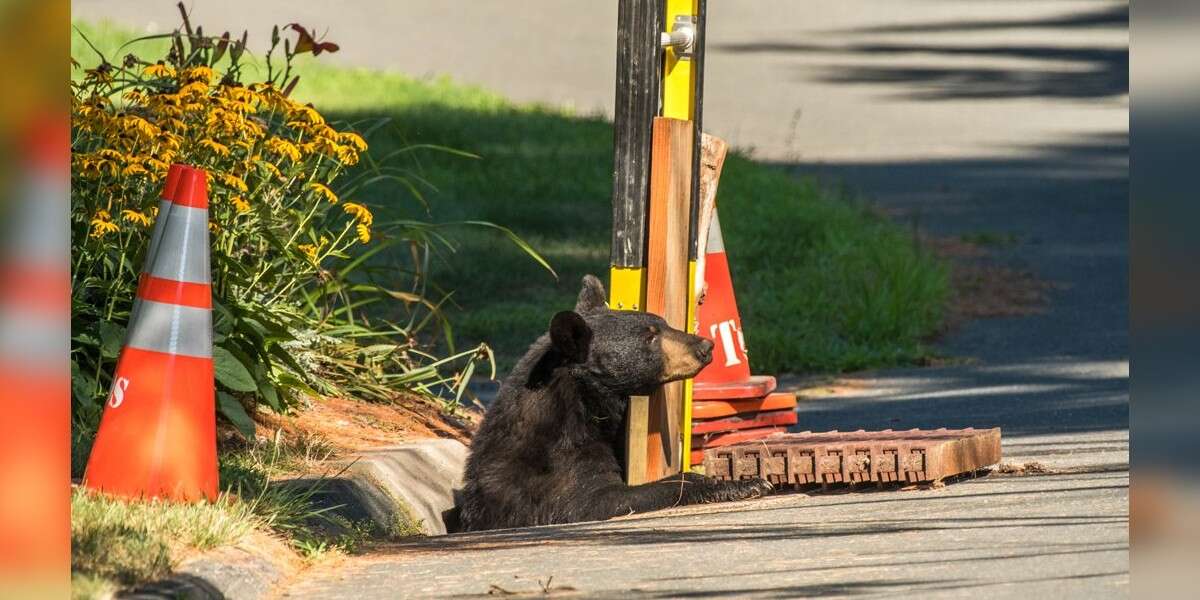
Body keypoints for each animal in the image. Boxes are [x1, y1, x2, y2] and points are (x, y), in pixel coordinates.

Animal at [453, 274, 772, 532]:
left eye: (663, 324)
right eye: (650, 337)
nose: (705, 346)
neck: (583, 402)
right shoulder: (556, 466)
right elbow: (597, 499)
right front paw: (745, 484)